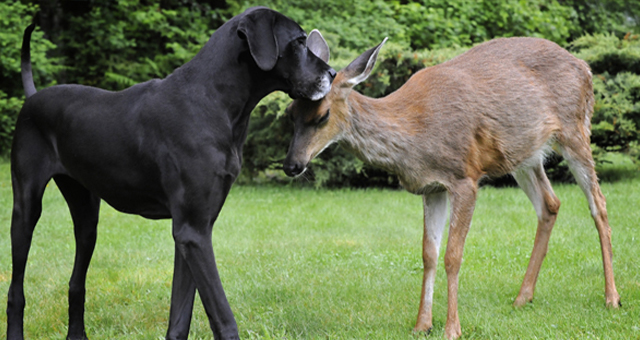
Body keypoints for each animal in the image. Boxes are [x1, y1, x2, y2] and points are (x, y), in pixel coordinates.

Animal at [7, 7, 336, 340]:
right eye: (298, 42)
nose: (333, 74)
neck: (214, 101)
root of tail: (33, 97)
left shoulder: (191, 232)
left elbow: (180, 316)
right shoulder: (193, 231)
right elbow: (223, 317)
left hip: (87, 217)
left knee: (76, 280)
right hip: (25, 209)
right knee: (15, 288)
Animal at [284, 32, 620, 340]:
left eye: (323, 115)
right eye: (290, 113)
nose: (291, 165)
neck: (414, 133)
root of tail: (585, 66)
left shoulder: (465, 178)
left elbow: (452, 255)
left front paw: (452, 328)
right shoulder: (431, 187)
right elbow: (428, 253)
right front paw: (422, 324)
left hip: (575, 129)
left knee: (599, 203)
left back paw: (611, 297)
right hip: (524, 154)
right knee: (550, 204)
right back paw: (522, 297)